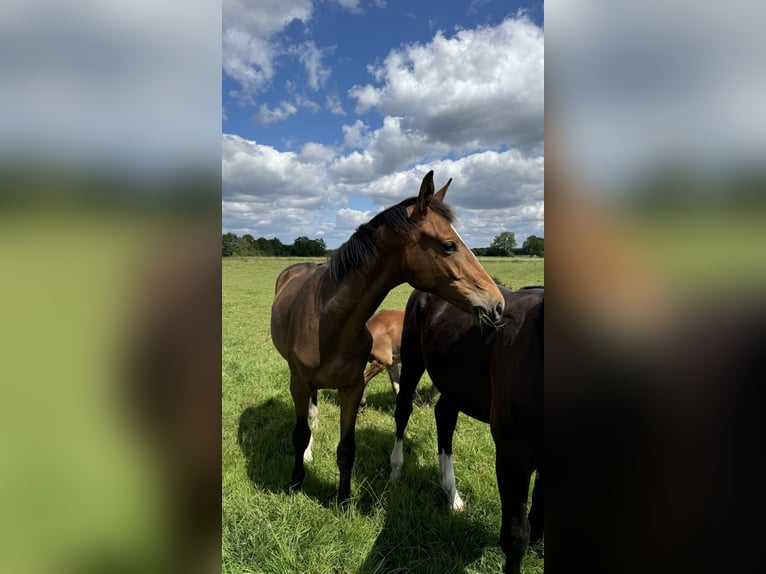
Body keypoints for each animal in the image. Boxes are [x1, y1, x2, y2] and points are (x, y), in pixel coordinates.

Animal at [272, 171, 508, 508]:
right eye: (449, 245)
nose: (497, 304)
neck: (328, 322)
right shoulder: (300, 383)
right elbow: (300, 433)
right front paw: (295, 485)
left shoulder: (352, 387)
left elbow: (347, 448)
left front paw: (344, 503)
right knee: (309, 416)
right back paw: (306, 453)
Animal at [390, 284, 544, 574]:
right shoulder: (512, 458)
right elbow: (516, 536)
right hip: (413, 360)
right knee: (403, 410)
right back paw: (395, 471)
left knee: (444, 417)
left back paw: (452, 494)